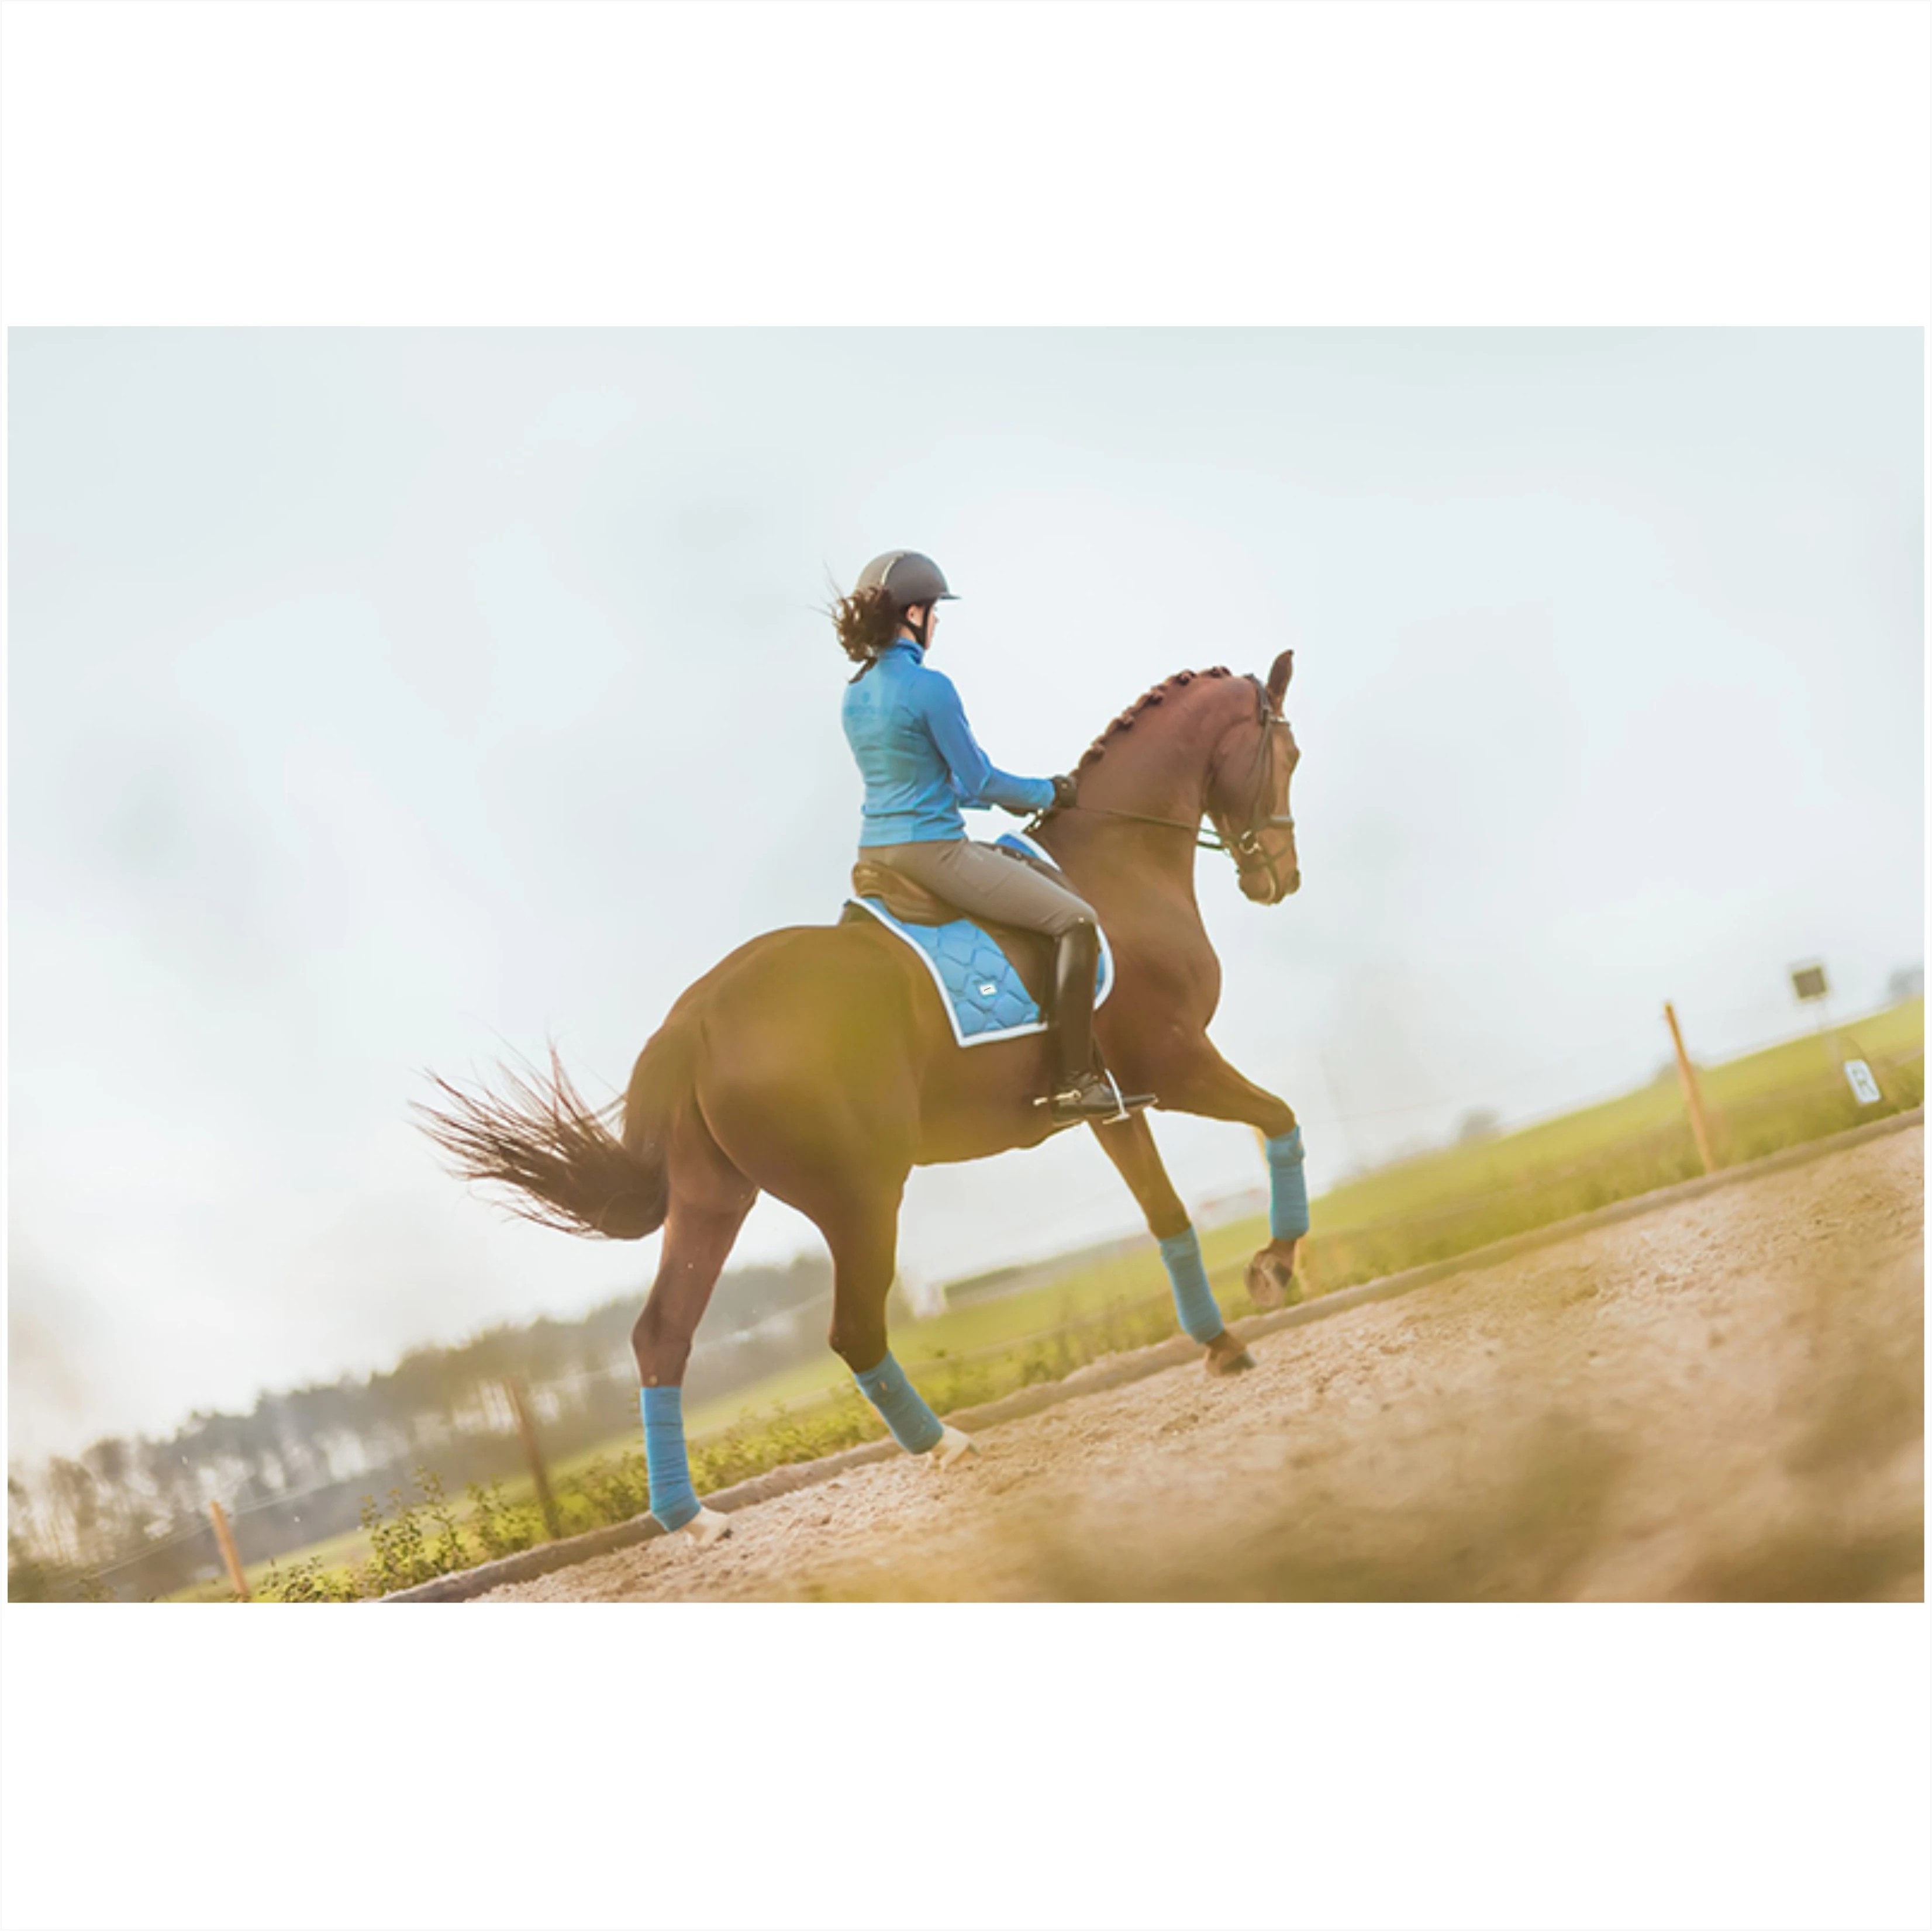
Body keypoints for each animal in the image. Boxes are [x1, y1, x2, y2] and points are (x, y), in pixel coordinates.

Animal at [418, 650, 1309, 1543]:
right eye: (1290, 756)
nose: (1281, 879)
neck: (1115, 865)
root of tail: (695, 1018)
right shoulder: (1182, 1061)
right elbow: (1280, 1120)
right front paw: (1272, 1266)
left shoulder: (1118, 1106)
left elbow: (1170, 1219)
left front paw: (1222, 1342)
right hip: (860, 1197)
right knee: (852, 1330)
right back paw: (943, 1443)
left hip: (714, 1202)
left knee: (661, 1336)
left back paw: (692, 1518)